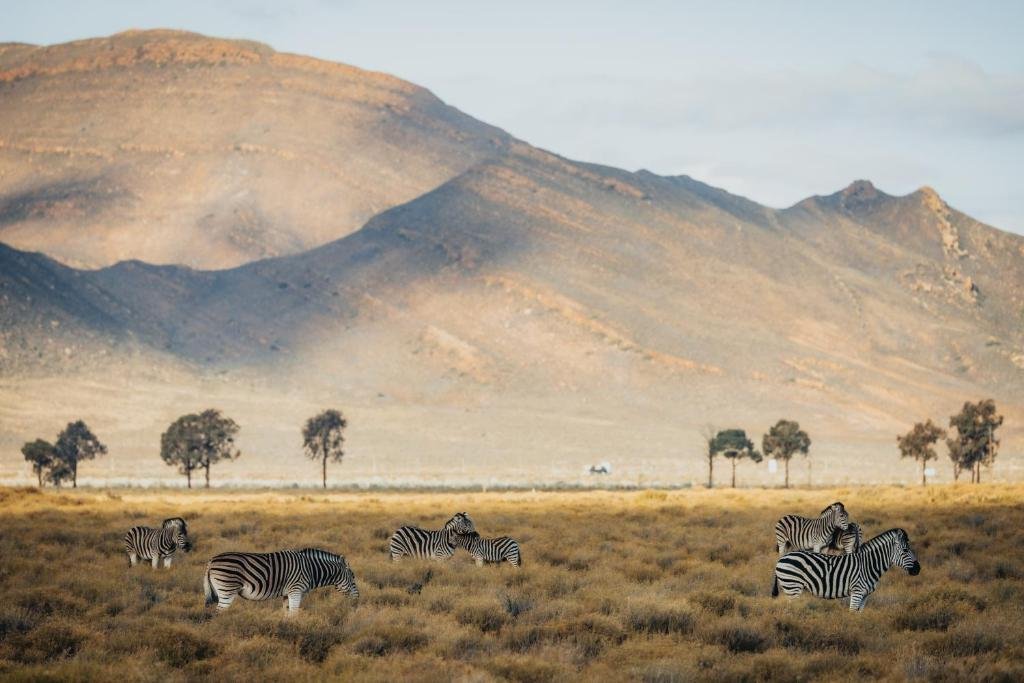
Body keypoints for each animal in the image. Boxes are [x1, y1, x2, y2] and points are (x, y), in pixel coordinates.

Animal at [204, 547, 359, 614]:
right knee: (218, 614)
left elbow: (287, 613)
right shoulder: (296, 591)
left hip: (219, 592)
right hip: (227, 590)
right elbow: (294, 613)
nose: (358, 598)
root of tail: (211, 561)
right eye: (353, 577)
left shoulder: (287, 594)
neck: (310, 569)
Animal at [772, 528, 920, 611]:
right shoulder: (857, 592)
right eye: (905, 550)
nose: (918, 569)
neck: (868, 565)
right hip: (792, 587)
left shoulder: (865, 596)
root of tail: (782, 558)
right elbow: (852, 614)